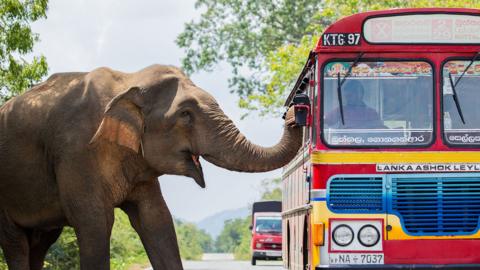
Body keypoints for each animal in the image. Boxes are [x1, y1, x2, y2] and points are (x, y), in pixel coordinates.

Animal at [0, 64, 300, 268]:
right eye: (185, 114)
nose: (292, 111)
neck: (128, 81)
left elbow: (156, 219)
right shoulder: (76, 153)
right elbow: (95, 222)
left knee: (41, 242)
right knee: (17, 243)